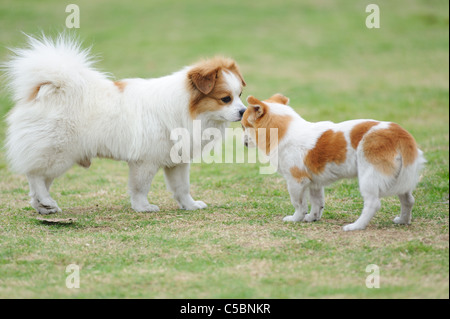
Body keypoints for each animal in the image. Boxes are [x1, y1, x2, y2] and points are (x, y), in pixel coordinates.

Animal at [2, 34, 246, 215]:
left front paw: (190, 205)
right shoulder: (145, 162)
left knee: (40, 180)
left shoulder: (177, 162)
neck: (185, 108)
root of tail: (49, 88)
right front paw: (143, 207)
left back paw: (44, 206)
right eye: (226, 99)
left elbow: (181, 187)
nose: (244, 111)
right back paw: (45, 201)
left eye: (240, 95)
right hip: (59, 153)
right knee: (34, 175)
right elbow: (140, 188)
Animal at [243, 94, 426, 231]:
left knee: (373, 204)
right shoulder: (315, 183)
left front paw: (296, 218)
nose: (243, 142)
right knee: (408, 200)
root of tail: (398, 133)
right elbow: (317, 203)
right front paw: (312, 218)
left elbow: (299, 204)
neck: (285, 132)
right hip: (401, 179)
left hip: (369, 177)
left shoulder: (296, 182)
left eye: (244, 127)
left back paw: (356, 226)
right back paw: (403, 220)